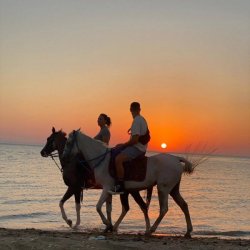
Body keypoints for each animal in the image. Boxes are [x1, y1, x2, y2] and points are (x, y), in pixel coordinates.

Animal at [62, 130, 195, 237]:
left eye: (68, 142)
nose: (64, 157)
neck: (102, 161)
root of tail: (176, 159)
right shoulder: (109, 190)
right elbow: (107, 208)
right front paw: (109, 226)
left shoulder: (106, 187)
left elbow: (98, 207)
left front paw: (107, 224)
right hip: (173, 190)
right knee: (183, 205)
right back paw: (188, 231)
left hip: (163, 189)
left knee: (163, 209)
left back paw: (151, 229)